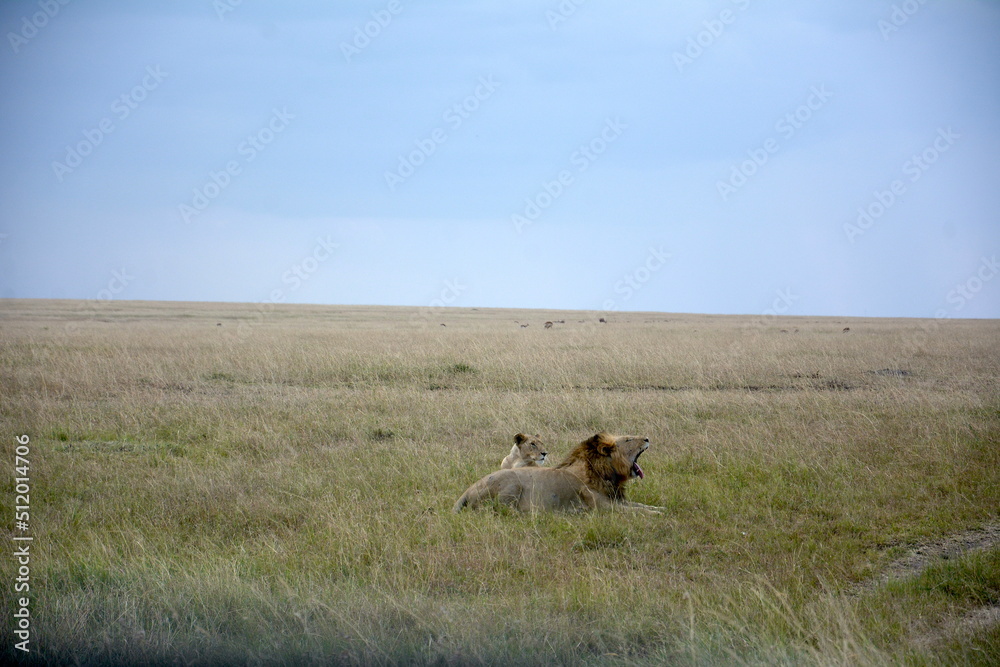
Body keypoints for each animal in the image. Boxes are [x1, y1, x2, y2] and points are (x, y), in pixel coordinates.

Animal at [454, 432, 663, 514]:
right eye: (628, 439)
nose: (647, 438)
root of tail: (467, 490)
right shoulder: (604, 506)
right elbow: (638, 511)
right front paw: (657, 515)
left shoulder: (618, 500)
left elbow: (642, 505)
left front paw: (661, 508)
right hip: (512, 483)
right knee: (498, 510)